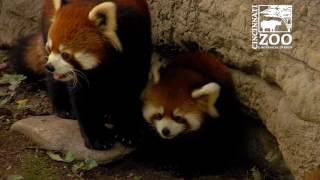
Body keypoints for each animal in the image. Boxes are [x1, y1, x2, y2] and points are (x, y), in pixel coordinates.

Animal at [8, 0, 151, 149]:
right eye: (50, 48)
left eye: (65, 54)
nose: (49, 66)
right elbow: (84, 98)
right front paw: (98, 137)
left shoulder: (137, 44)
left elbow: (130, 92)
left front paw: (129, 131)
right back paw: (64, 108)